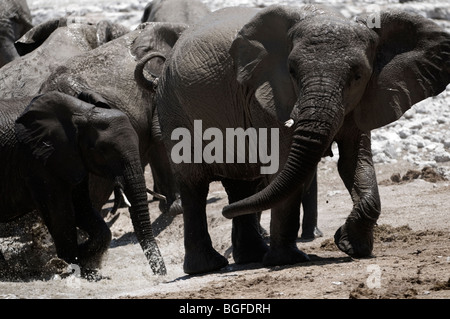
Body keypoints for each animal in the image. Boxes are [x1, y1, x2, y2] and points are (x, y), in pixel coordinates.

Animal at [0, 91, 165, 276]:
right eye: (103, 150)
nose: (161, 275)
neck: (82, 113)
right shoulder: (38, 161)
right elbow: (60, 214)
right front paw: (71, 267)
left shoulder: (72, 159)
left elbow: (81, 207)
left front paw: (87, 262)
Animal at [156, 5, 450, 276]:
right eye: (292, 72)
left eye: (357, 76)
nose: (225, 211)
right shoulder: (265, 97)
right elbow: (283, 165)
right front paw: (288, 260)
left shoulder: (364, 98)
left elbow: (354, 163)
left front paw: (351, 246)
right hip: (172, 106)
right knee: (194, 183)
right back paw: (206, 267)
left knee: (242, 184)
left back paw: (250, 255)